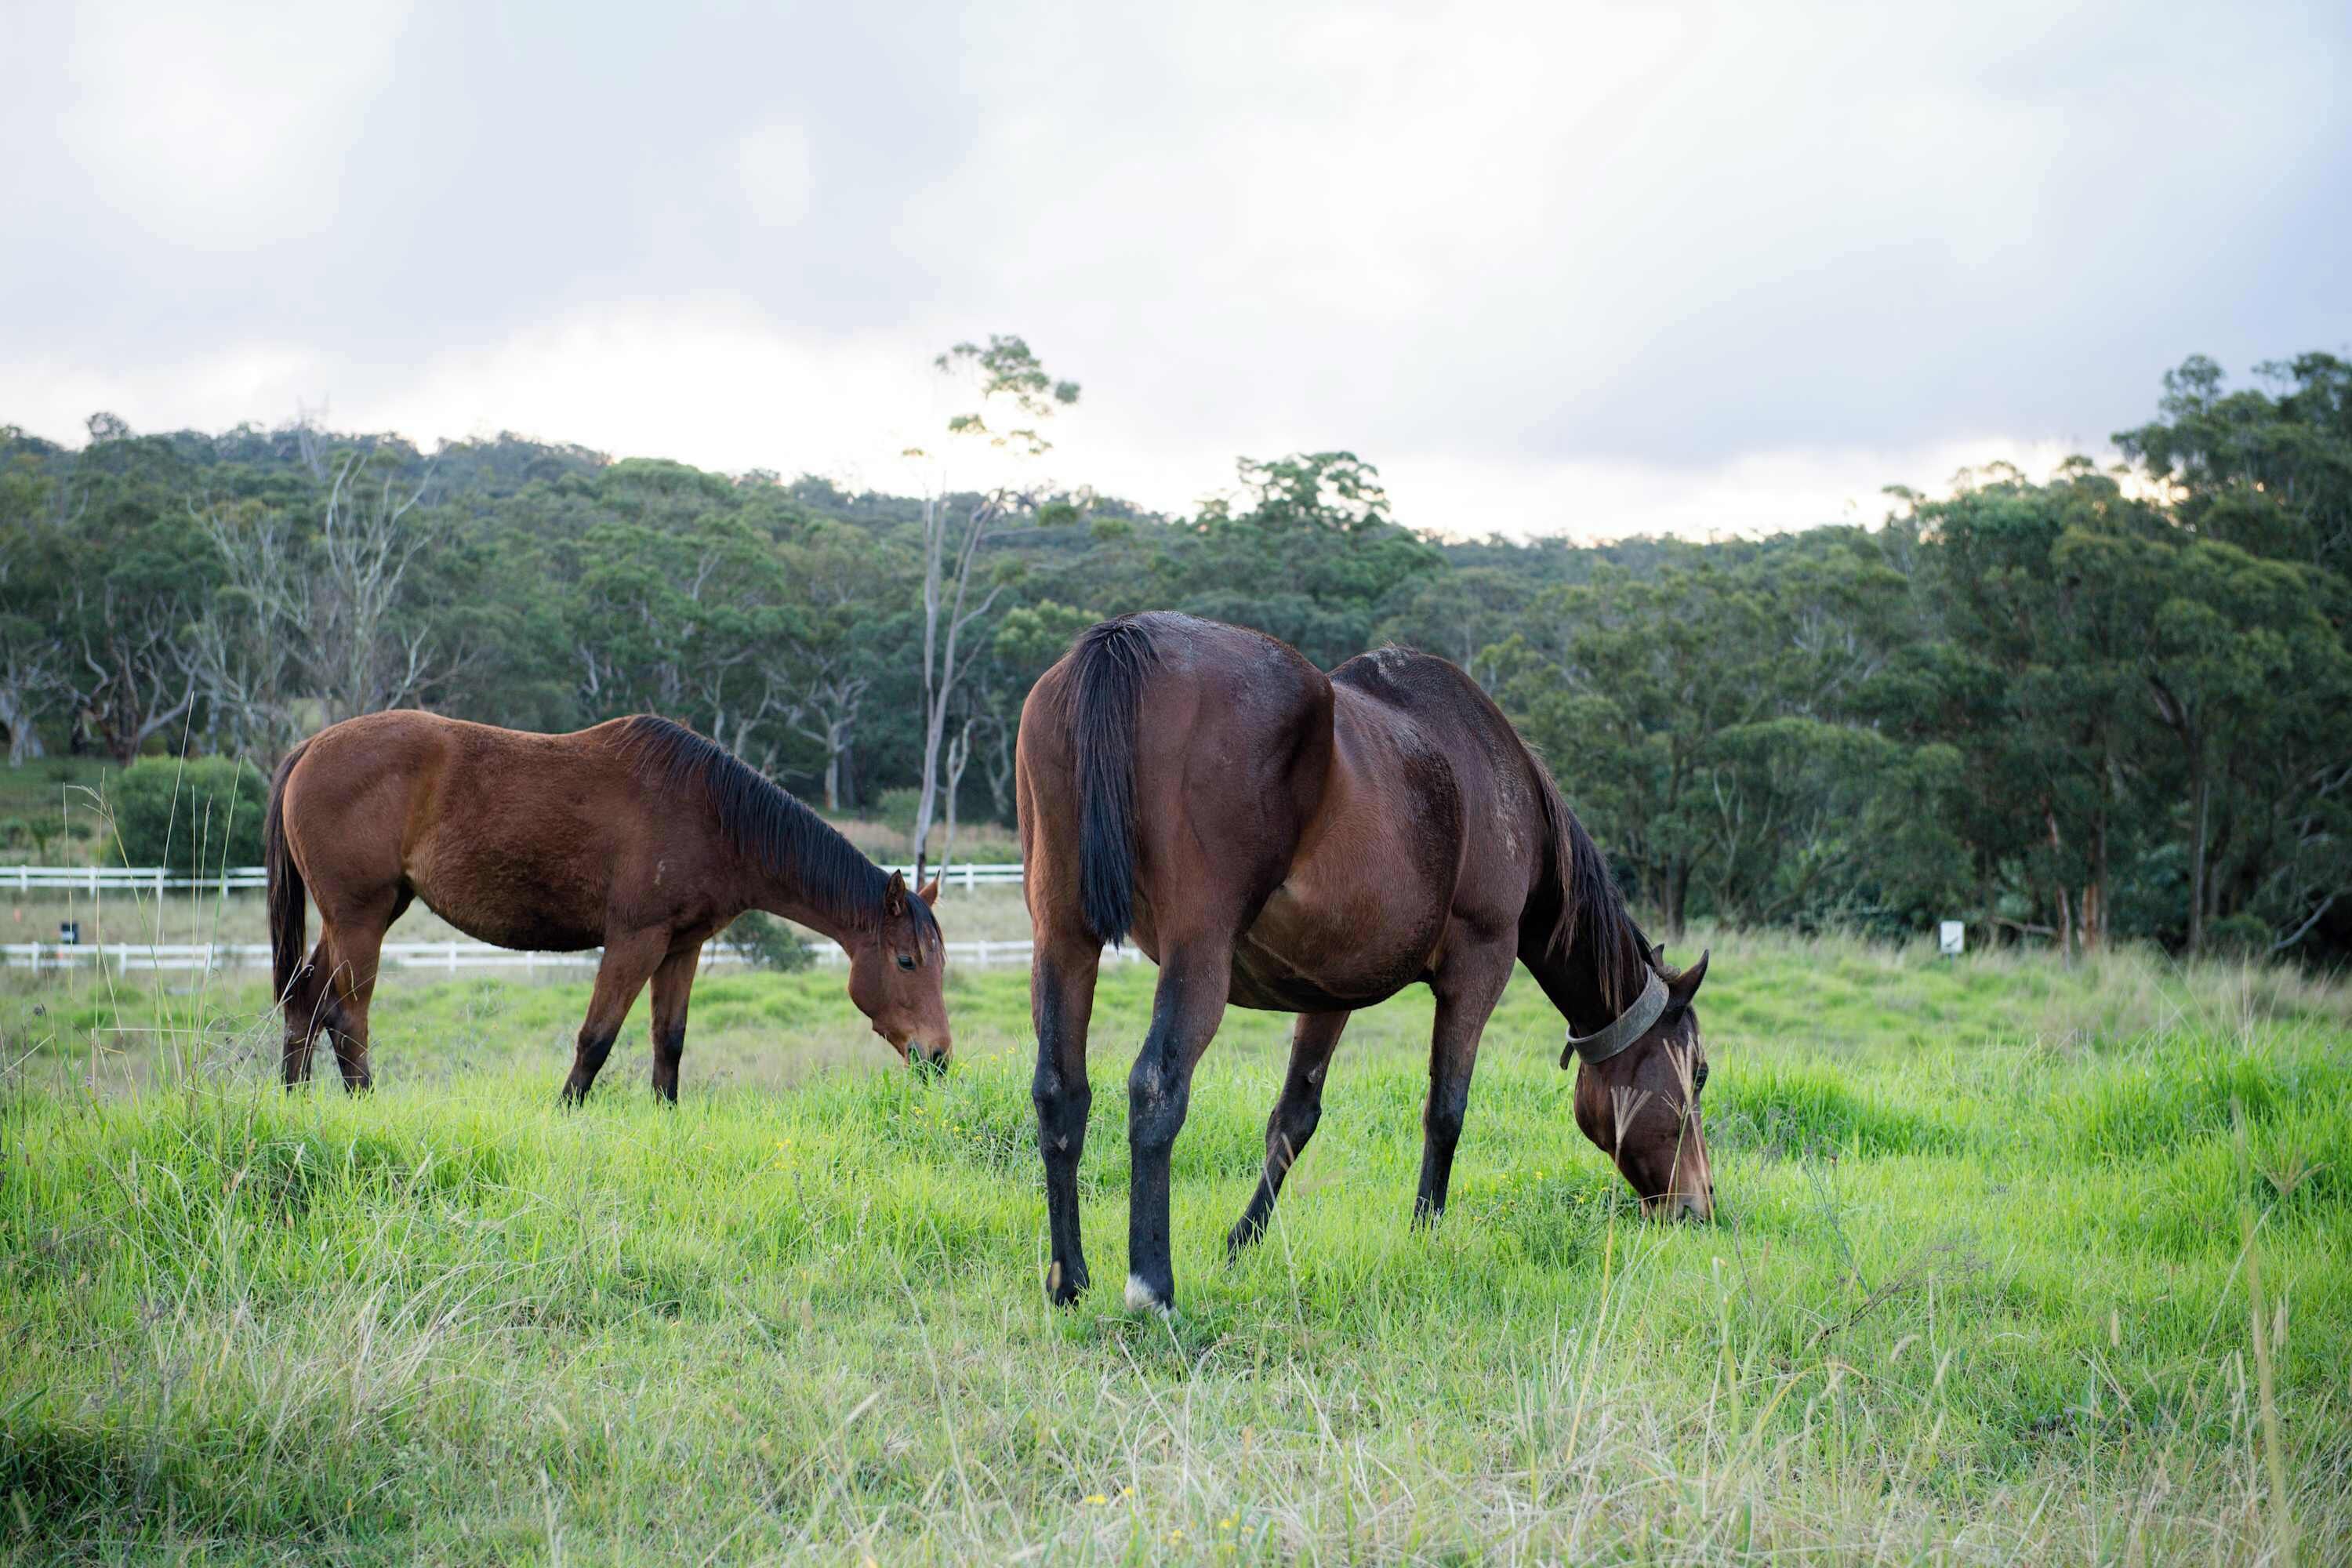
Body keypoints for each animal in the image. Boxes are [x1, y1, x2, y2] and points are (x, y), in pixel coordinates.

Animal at [262, 711, 950, 1100]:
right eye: (907, 962)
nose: (939, 1057)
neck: (712, 815)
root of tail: (310, 747)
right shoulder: (634, 941)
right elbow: (596, 1039)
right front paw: (565, 1113)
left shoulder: (682, 947)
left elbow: (668, 1042)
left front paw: (666, 1117)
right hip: (360, 917)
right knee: (347, 1016)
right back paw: (362, 1105)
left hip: (363, 915)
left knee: (305, 1001)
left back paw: (295, 1105)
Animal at [1016, 613, 1713, 1313]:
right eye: (1700, 1074)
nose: (1699, 1205)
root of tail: (1125, 639)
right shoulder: (1479, 968)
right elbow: (1446, 1111)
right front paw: (1424, 1234)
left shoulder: (1329, 993)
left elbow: (1294, 1117)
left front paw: (1242, 1243)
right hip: (1196, 955)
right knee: (1156, 1086)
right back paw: (1151, 1286)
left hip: (1063, 938)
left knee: (1060, 1091)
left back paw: (1067, 1280)